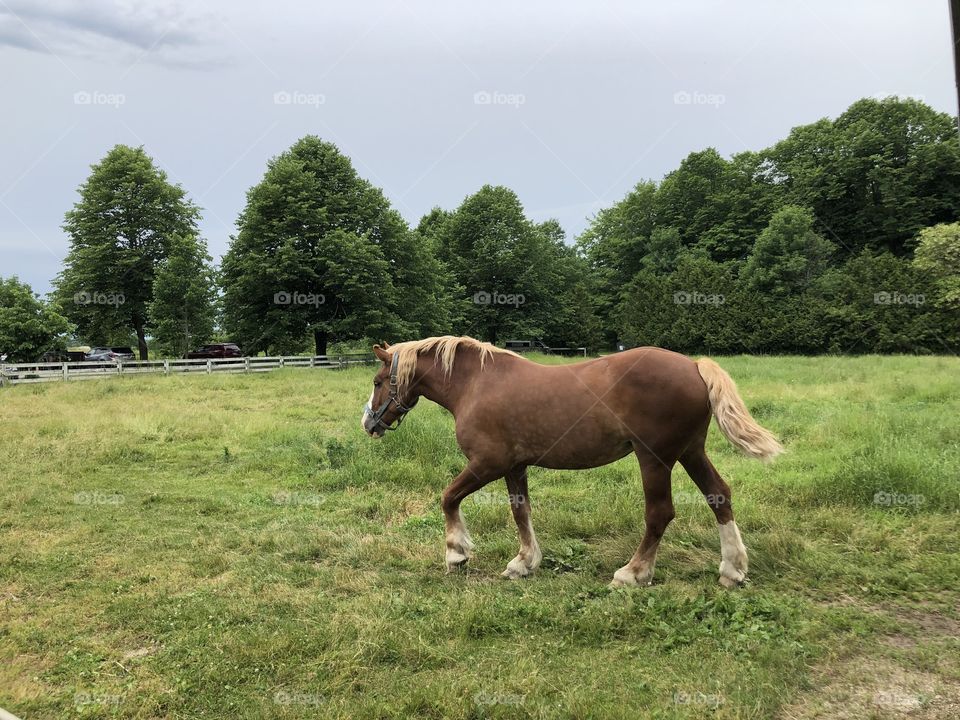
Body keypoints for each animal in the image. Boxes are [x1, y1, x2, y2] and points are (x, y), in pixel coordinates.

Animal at [360, 336, 780, 584]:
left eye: (378, 382)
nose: (368, 423)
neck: (475, 385)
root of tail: (693, 365)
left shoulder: (487, 463)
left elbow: (448, 498)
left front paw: (456, 554)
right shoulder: (514, 467)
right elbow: (521, 512)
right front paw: (524, 562)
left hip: (655, 458)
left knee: (660, 513)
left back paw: (633, 573)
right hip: (691, 452)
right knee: (719, 497)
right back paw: (732, 570)